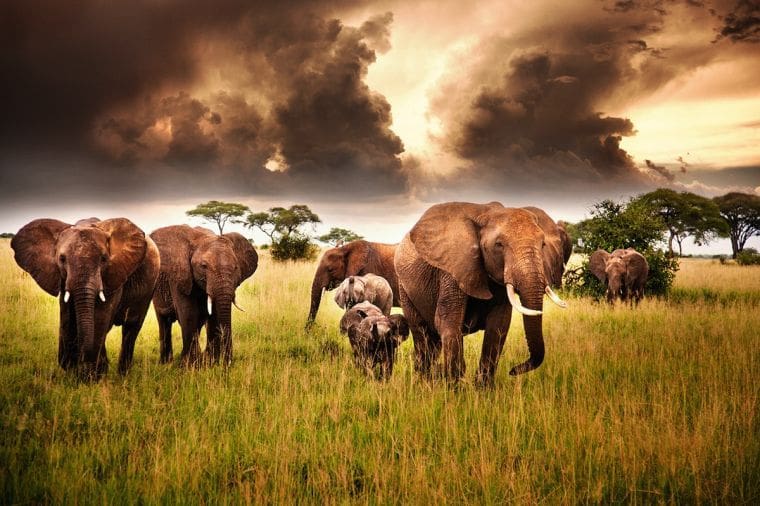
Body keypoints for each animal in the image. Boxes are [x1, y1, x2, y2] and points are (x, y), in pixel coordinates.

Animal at [11, 217, 160, 380]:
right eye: (62, 259)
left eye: (104, 259)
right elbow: (67, 317)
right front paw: (73, 370)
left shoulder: (113, 274)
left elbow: (100, 318)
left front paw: (90, 376)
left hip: (148, 289)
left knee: (131, 326)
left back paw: (122, 375)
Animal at [150, 225, 258, 366]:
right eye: (203, 266)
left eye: (236, 267)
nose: (228, 362)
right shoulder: (178, 277)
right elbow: (189, 314)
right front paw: (190, 366)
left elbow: (214, 315)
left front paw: (211, 363)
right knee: (164, 321)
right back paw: (166, 363)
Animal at [394, 201, 568, 385]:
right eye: (499, 245)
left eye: (543, 245)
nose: (513, 370)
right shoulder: (452, 269)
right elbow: (447, 323)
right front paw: (454, 388)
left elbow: (498, 327)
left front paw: (483, 388)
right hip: (404, 287)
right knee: (422, 333)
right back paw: (423, 380)